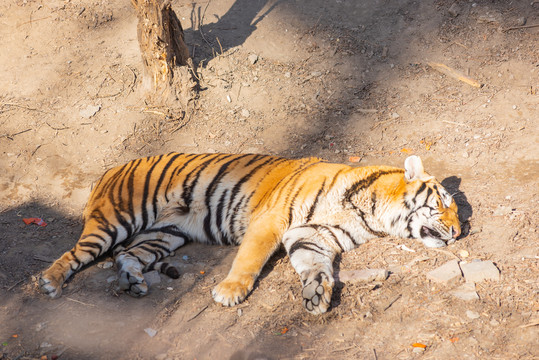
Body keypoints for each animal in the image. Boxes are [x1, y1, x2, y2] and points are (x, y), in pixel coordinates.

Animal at [38, 153, 462, 314]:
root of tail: (111, 169)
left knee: (127, 255)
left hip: (166, 234)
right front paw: (230, 291)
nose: (459, 232)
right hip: (116, 220)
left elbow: (313, 265)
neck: (369, 213)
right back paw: (50, 282)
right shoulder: (271, 221)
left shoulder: (312, 234)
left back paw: (134, 282)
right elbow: (250, 258)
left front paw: (317, 293)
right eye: (443, 202)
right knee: (77, 253)